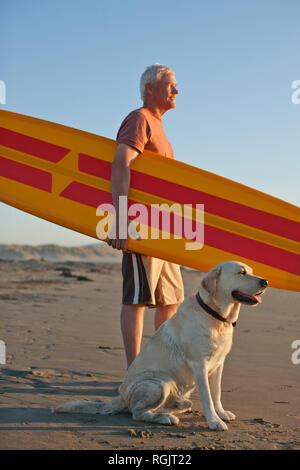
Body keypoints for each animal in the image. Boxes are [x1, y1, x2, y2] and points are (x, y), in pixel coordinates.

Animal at [55, 260, 268, 430]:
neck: (215, 315)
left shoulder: (218, 364)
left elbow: (216, 393)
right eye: (242, 272)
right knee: (137, 412)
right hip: (158, 383)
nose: (265, 281)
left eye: (251, 270)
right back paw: (165, 418)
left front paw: (221, 413)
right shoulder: (199, 365)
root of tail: (121, 396)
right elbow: (207, 396)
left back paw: (174, 410)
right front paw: (214, 421)